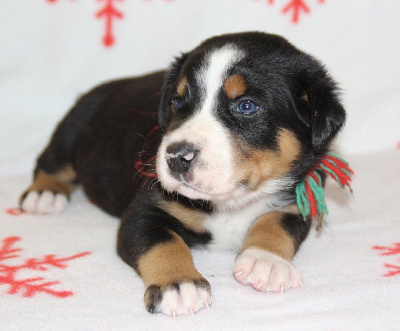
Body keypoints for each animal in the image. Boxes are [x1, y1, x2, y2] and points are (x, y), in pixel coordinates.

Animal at [19, 31, 344, 320]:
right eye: (176, 102)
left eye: (247, 106)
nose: (177, 156)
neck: (230, 203)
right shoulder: (146, 208)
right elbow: (164, 243)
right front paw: (178, 284)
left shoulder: (299, 196)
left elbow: (276, 223)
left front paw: (266, 260)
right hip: (73, 128)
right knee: (51, 162)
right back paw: (44, 193)